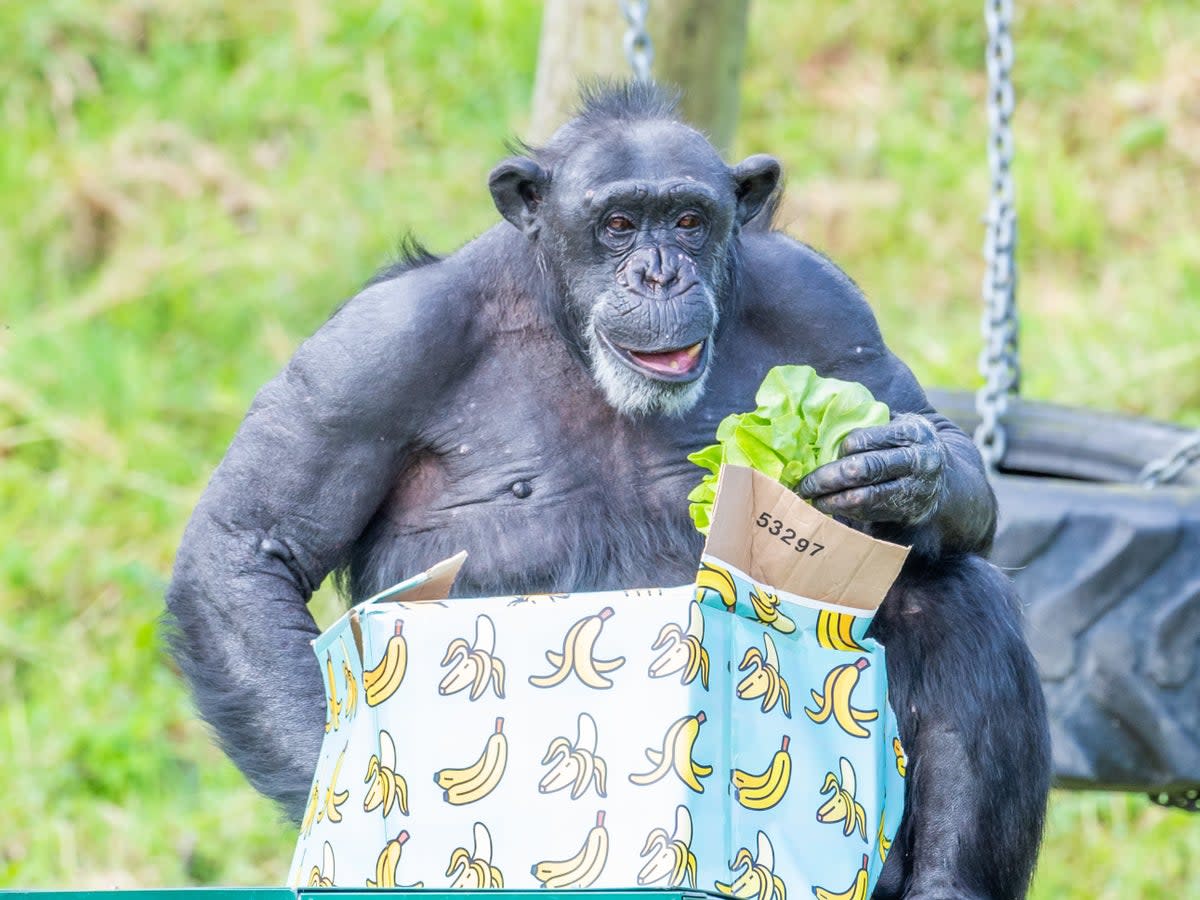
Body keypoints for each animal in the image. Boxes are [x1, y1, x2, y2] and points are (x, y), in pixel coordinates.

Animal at [166, 81, 1051, 897]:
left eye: (689, 220)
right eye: (619, 224)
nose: (659, 274)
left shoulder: (826, 305)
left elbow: (938, 435)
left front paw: (903, 471)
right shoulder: (375, 348)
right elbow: (248, 545)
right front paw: (359, 798)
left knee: (950, 588)